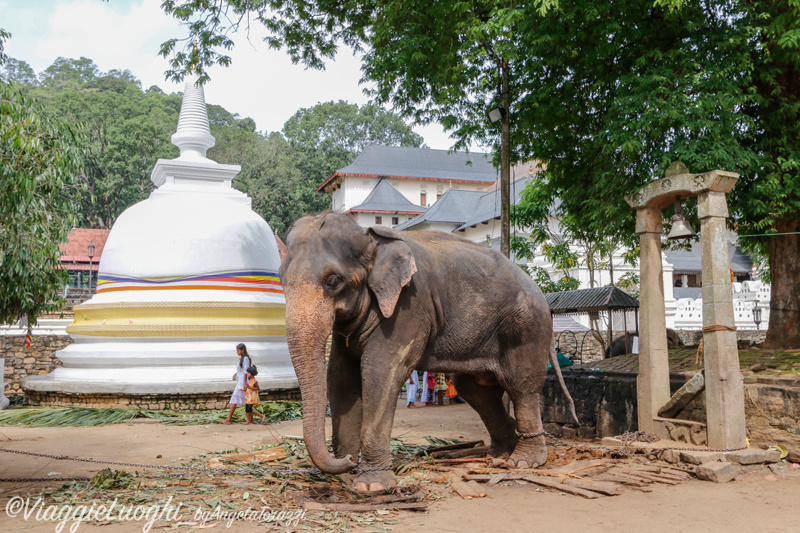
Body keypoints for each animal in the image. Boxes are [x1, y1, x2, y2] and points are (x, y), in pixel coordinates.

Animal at [280, 211, 576, 490]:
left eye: (333, 280)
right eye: (281, 280)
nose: (349, 460)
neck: (371, 238)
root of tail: (541, 293)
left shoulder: (408, 307)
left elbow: (379, 371)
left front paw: (372, 485)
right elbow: (341, 377)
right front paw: (346, 476)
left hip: (525, 326)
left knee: (521, 385)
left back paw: (523, 461)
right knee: (476, 389)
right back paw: (501, 453)